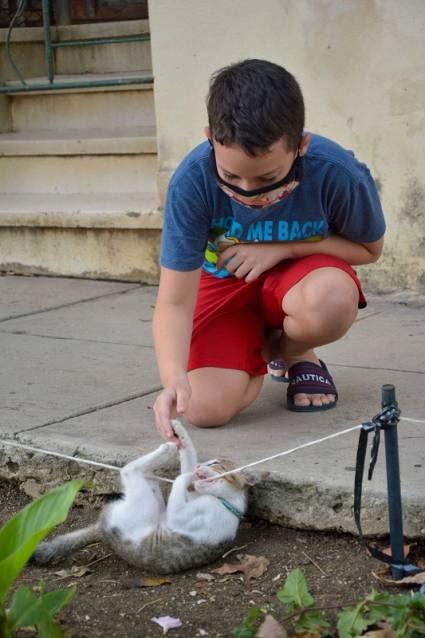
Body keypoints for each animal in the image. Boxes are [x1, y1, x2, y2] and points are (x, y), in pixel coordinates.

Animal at [34, 422, 252, 576]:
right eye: (209, 461)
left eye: (215, 464)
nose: (201, 467)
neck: (225, 502)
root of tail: (102, 528)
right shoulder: (189, 495)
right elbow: (188, 461)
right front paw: (182, 438)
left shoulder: (182, 514)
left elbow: (181, 477)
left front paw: (190, 471)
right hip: (153, 497)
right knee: (143, 471)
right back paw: (170, 446)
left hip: (142, 504)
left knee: (130, 469)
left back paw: (166, 449)